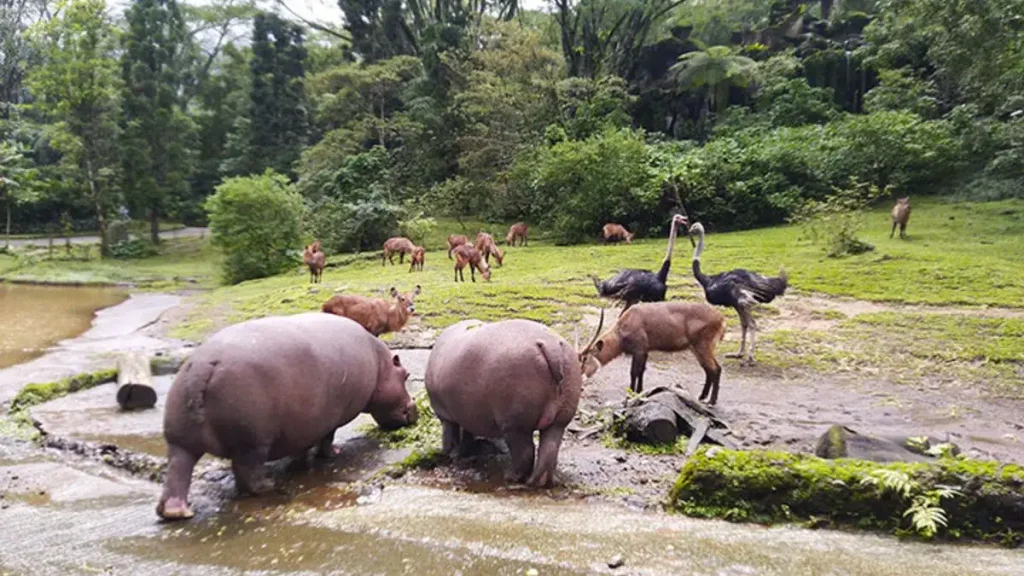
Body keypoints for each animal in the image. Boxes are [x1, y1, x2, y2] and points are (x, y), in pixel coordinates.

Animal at [577, 301, 729, 403]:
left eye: (585, 358)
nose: (580, 379)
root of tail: (721, 318)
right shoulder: (645, 351)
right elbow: (641, 371)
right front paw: (640, 391)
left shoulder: (639, 351)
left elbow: (634, 372)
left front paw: (630, 395)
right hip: (696, 349)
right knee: (709, 370)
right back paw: (702, 397)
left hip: (702, 347)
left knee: (716, 369)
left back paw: (711, 401)